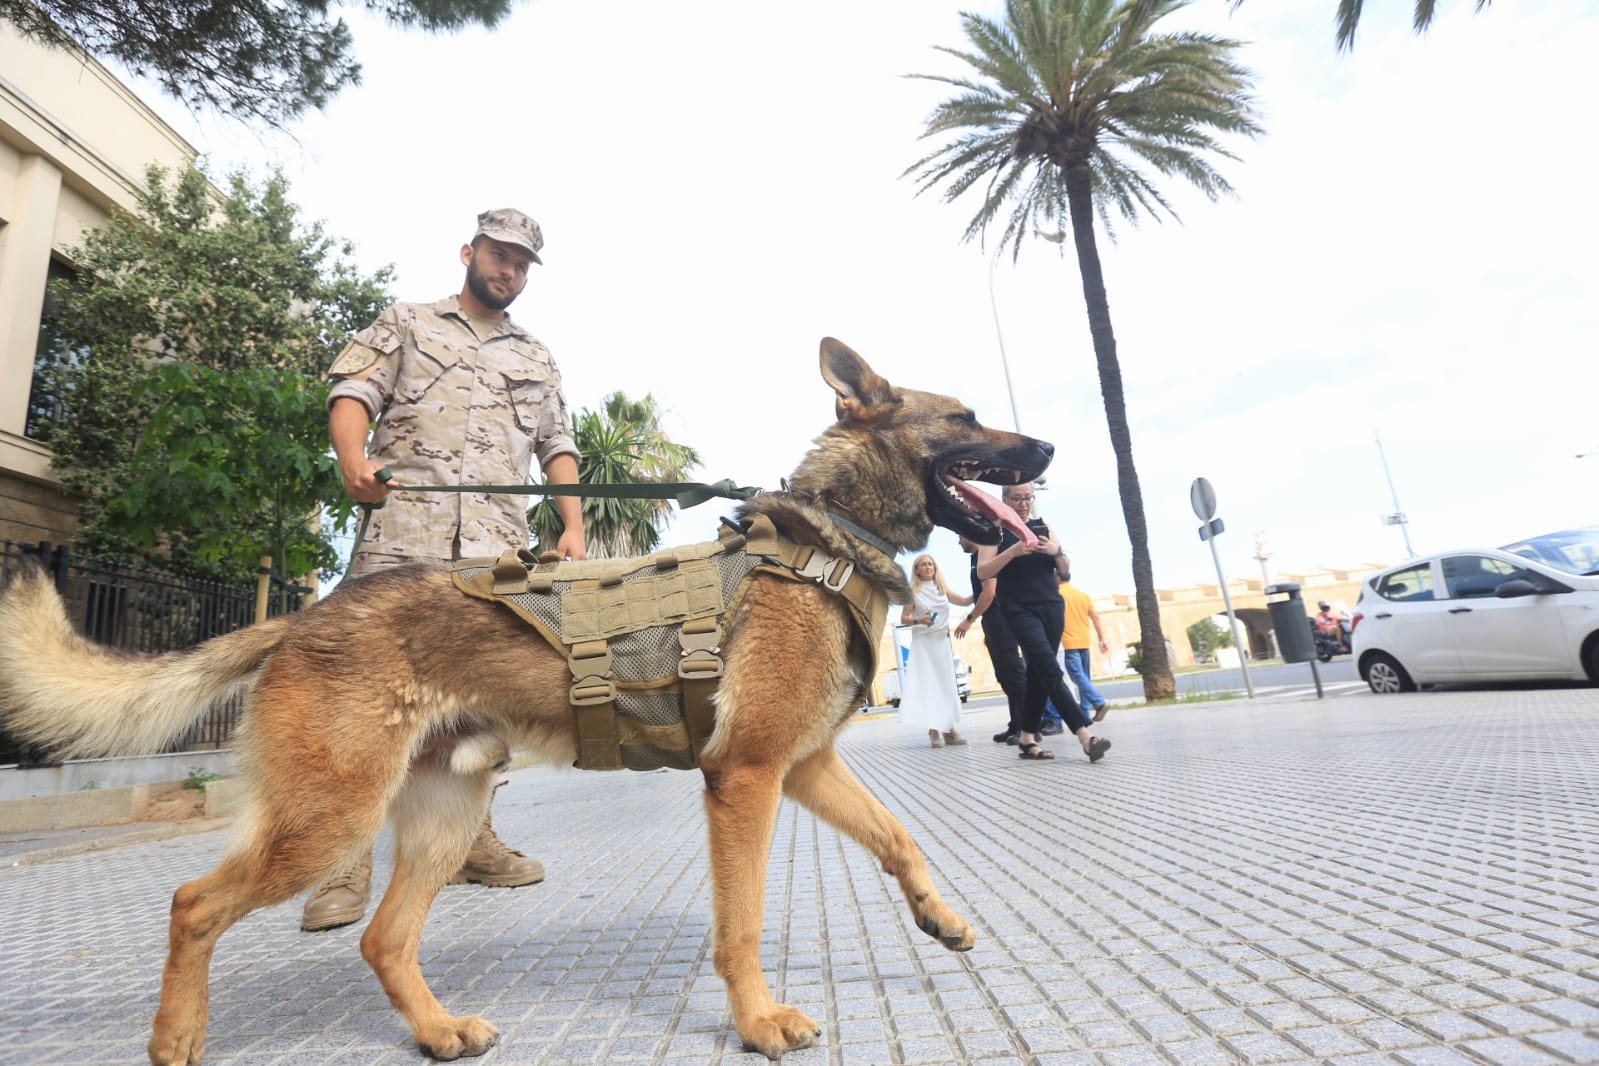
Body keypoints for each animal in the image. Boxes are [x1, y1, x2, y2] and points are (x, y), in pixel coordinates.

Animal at [0, 337, 1048, 1061]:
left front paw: (940, 918)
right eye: (964, 418)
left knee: (383, 938)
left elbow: (897, 837)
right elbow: (740, 925)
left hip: (443, 818)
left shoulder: (807, 766)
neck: (823, 540)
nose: (1042, 443)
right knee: (193, 902)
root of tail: (298, 620)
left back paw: (435, 1032)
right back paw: (176, 1038)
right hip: (330, 819)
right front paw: (755, 1023)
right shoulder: (744, 777)